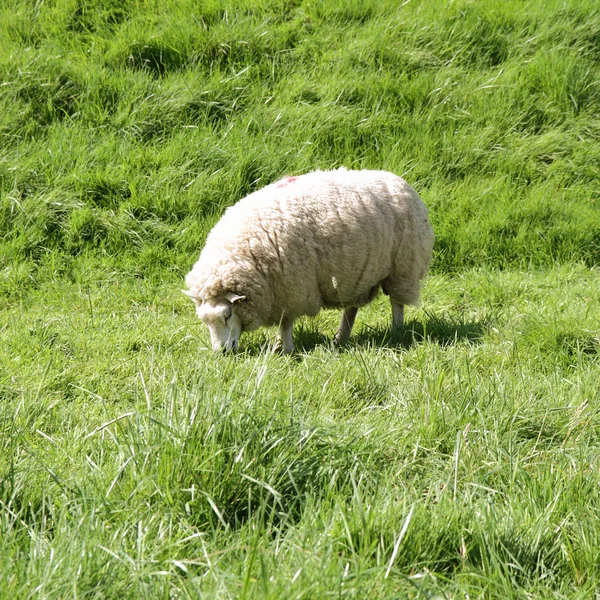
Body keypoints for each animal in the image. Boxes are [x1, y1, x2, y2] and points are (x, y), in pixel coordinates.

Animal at [185, 166, 434, 354]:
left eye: (227, 315)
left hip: (403, 267)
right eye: (205, 321)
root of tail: (400, 181)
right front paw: (281, 346)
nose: (221, 352)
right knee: (351, 308)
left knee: (397, 303)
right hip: (355, 274)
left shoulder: (291, 290)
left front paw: (284, 348)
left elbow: (285, 322)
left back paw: (396, 330)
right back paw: (340, 337)